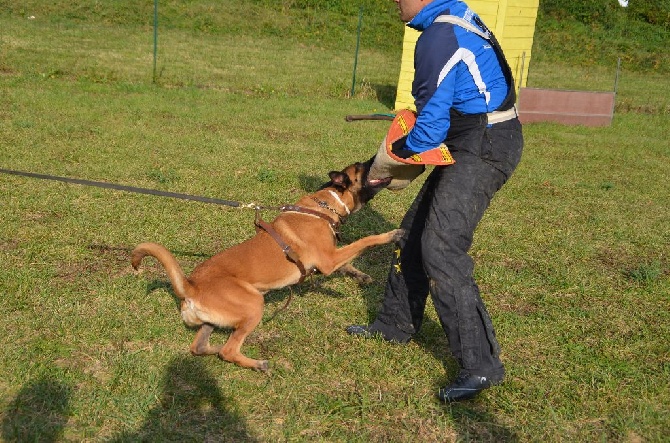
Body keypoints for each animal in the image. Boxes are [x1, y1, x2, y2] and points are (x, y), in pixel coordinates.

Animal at [133, 162, 404, 372]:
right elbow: (363, 242)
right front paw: (391, 235)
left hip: (214, 321)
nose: (379, 160)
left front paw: (359, 275)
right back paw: (256, 363)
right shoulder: (328, 259)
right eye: (362, 167)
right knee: (228, 351)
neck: (324, 206)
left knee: (200, 347)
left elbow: (348, 261)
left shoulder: (331, 257)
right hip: (255, 304)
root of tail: (191, 287)